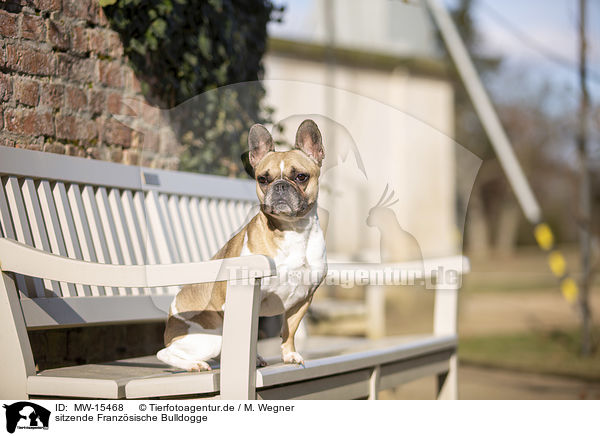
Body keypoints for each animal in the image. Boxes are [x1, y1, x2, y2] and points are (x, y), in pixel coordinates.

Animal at [157, 119, 326, 372]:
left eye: (301, 177)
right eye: (263, 179)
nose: (280, 186)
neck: (292, 230)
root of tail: (169, 329)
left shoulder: (302, 300)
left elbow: (289, 331)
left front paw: (289, 355)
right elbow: (252, 336)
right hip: (210, 339)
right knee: (164, 353)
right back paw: (195, 364)